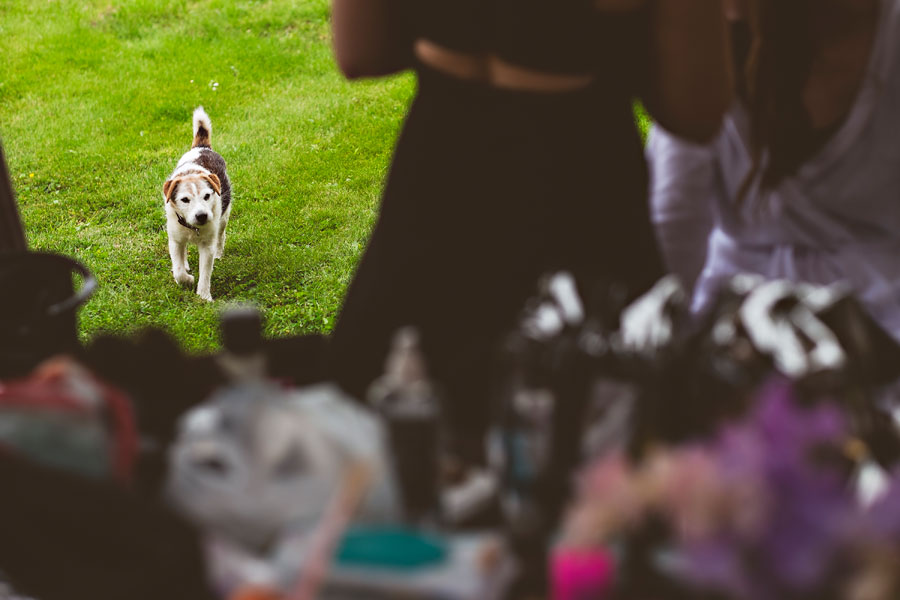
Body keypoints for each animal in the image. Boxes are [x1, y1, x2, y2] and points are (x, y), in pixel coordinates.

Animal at [162, 106, 232, 300]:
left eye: (207, 196)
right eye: (185, 200)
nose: (202, 216)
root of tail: (202, 147)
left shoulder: (207, 245)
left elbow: (206, 272)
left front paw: (203, 296)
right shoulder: (175, 240)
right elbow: (178, 269)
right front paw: (186, 279)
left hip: (223, 218)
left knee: (221, 236)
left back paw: (219, 253)